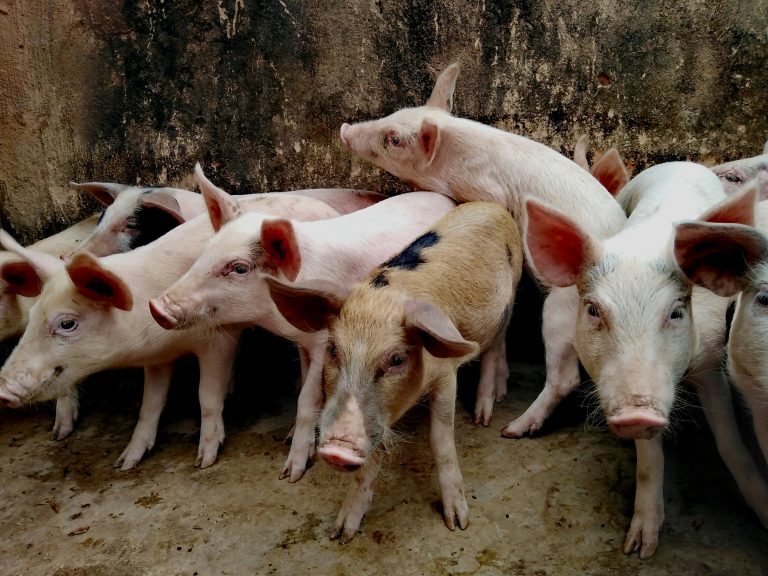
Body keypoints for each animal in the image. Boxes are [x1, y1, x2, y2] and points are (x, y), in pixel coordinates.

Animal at [148, 184, 457, 482]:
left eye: (239, 268)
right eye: (205, 251)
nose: (156, 307)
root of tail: (447, 199)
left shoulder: (325, 342)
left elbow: (306, 399)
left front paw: (290, 473)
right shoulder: (303, 342)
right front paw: (287, 439)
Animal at [264, 202, 523, 541]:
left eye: (397, 359)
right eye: (333, 349)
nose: (336, 449)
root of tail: (490, 205)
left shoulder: (446, 377)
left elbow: (441, 441)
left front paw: (458, 523)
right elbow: (372, 459)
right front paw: (341, 534)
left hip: (510, 300)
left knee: (494, 348)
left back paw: (484, 416)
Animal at [339, 62, 627, 427]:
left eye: (393, 139)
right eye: (394, 114)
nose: (345, 129)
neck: (451, 163)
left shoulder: (488, 191)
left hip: (561, 306)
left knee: (566, 377)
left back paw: (513, 429)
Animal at [522, 161, 768, 557]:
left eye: (676, 313)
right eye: (593, 310)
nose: (637, 413)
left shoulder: (711, 361)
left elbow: (730, 445)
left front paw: (764, 515)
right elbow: (649, 459)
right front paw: (639, 548)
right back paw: (513, 431)